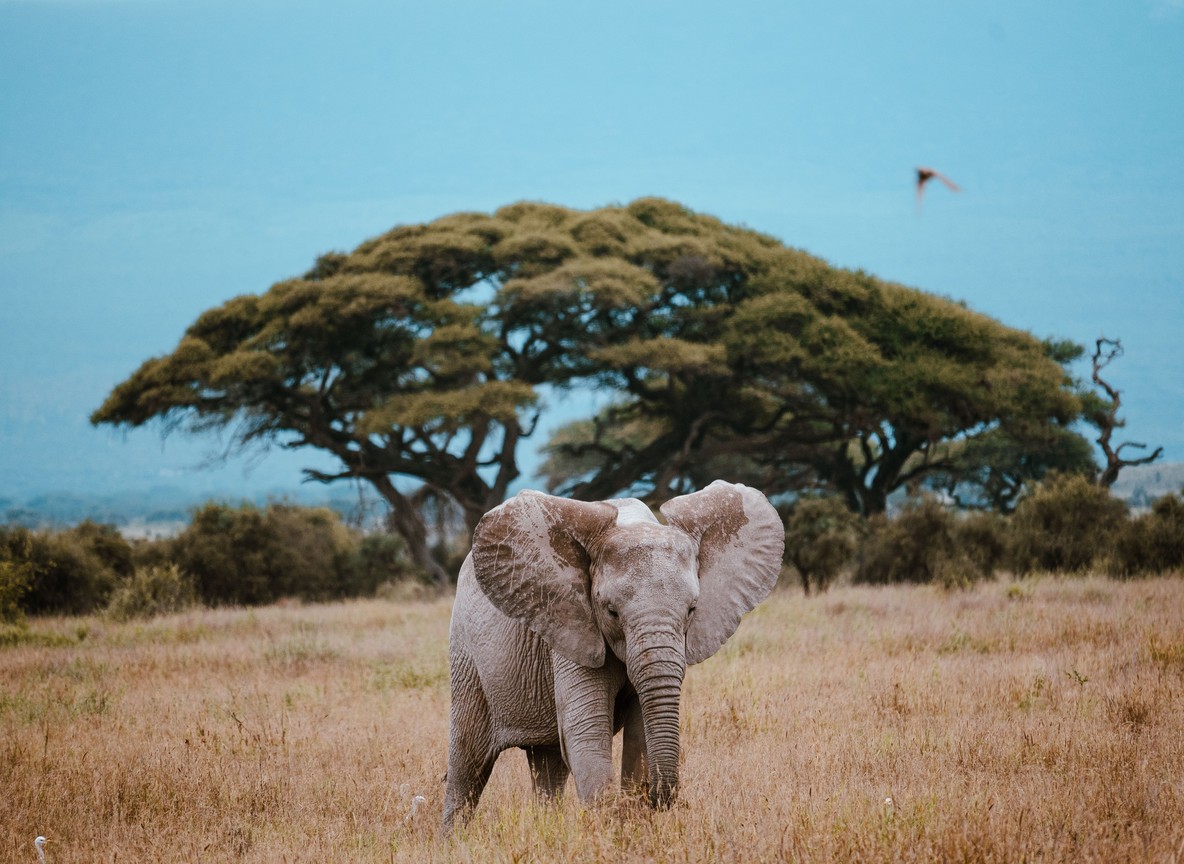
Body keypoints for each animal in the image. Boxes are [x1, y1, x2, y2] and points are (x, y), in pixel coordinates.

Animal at [443, 480, 785, 831]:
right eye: (612, 612)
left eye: (692, 610)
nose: (660, 797)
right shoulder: (572, 621)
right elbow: (586, 730)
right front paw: (612, 827)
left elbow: (638, 732)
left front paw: (634, 819)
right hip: (466, 652)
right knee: (468, 761)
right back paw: (455, 838)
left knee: (548, 763)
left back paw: (548, 828)